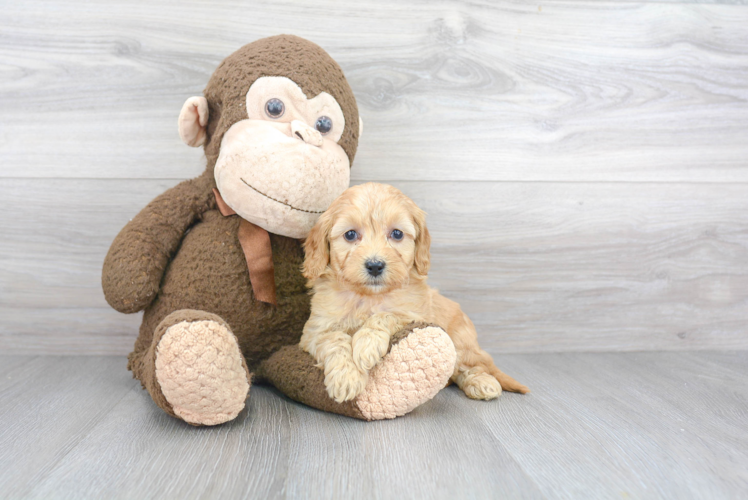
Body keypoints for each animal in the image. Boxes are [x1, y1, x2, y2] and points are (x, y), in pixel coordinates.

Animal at [300, 182, 528, 404]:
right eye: (350, 234)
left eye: (397, 234)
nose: (375, 265)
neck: (369, 296)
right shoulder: (314, 332)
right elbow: (334, 339)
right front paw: (346, 377)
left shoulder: (416, 315)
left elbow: (387, 315)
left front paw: (367, 344)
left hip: (462, 342)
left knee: (471, 367)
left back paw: (482, 383)